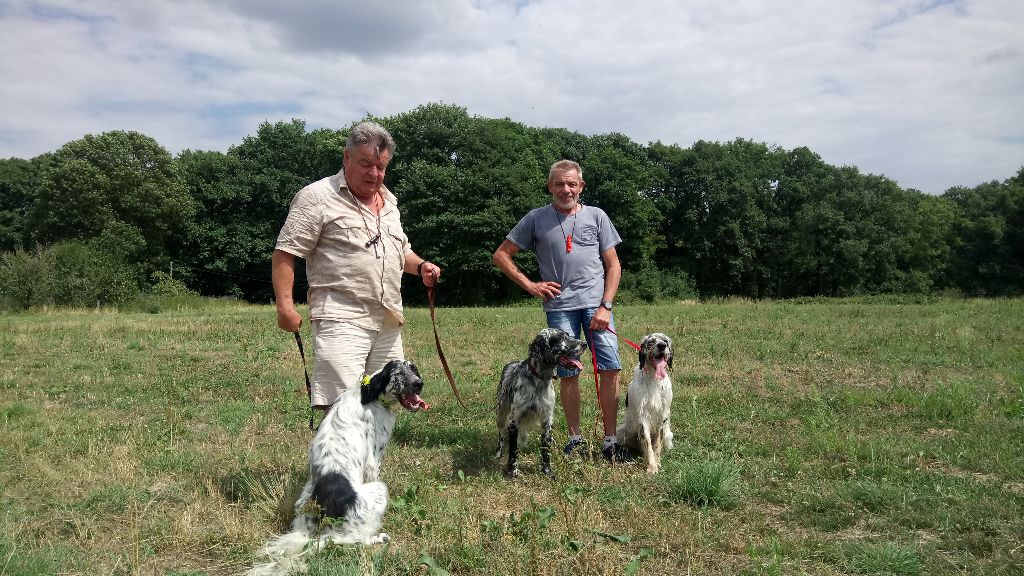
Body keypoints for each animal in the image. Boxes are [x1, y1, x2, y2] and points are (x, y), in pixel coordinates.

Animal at [249, 358, 430, 573]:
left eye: (413, 369)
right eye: (398, 374)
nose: (419, 383)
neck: (370, 393)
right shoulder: (373, 462)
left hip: (303, 501)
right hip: (378, 490)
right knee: (352, 538)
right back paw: (377, 537)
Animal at [495, 327, 585, 475]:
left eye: (567, 335)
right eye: (561, 337)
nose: (584, 344)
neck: (539, 380)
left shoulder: (547, 420)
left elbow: (545, 449)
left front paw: (547, 471)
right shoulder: (514, 420)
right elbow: (513, 450)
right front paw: (513, 471)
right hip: (501, 415)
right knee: (501, 435)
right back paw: (498, 453)